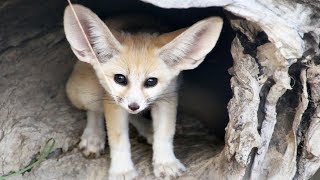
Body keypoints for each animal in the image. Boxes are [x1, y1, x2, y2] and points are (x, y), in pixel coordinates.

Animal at [62, 4, 222, 180]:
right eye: (120, 78)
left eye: (151, 81)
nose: (134, 106)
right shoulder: (113, 101)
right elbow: (118, 139)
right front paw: (122, 170)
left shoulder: (168, 97)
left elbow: (165, 133)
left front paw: (165, 162)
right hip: (83, 92)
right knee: (94, 110)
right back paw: (94, 136)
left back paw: (147, 129)